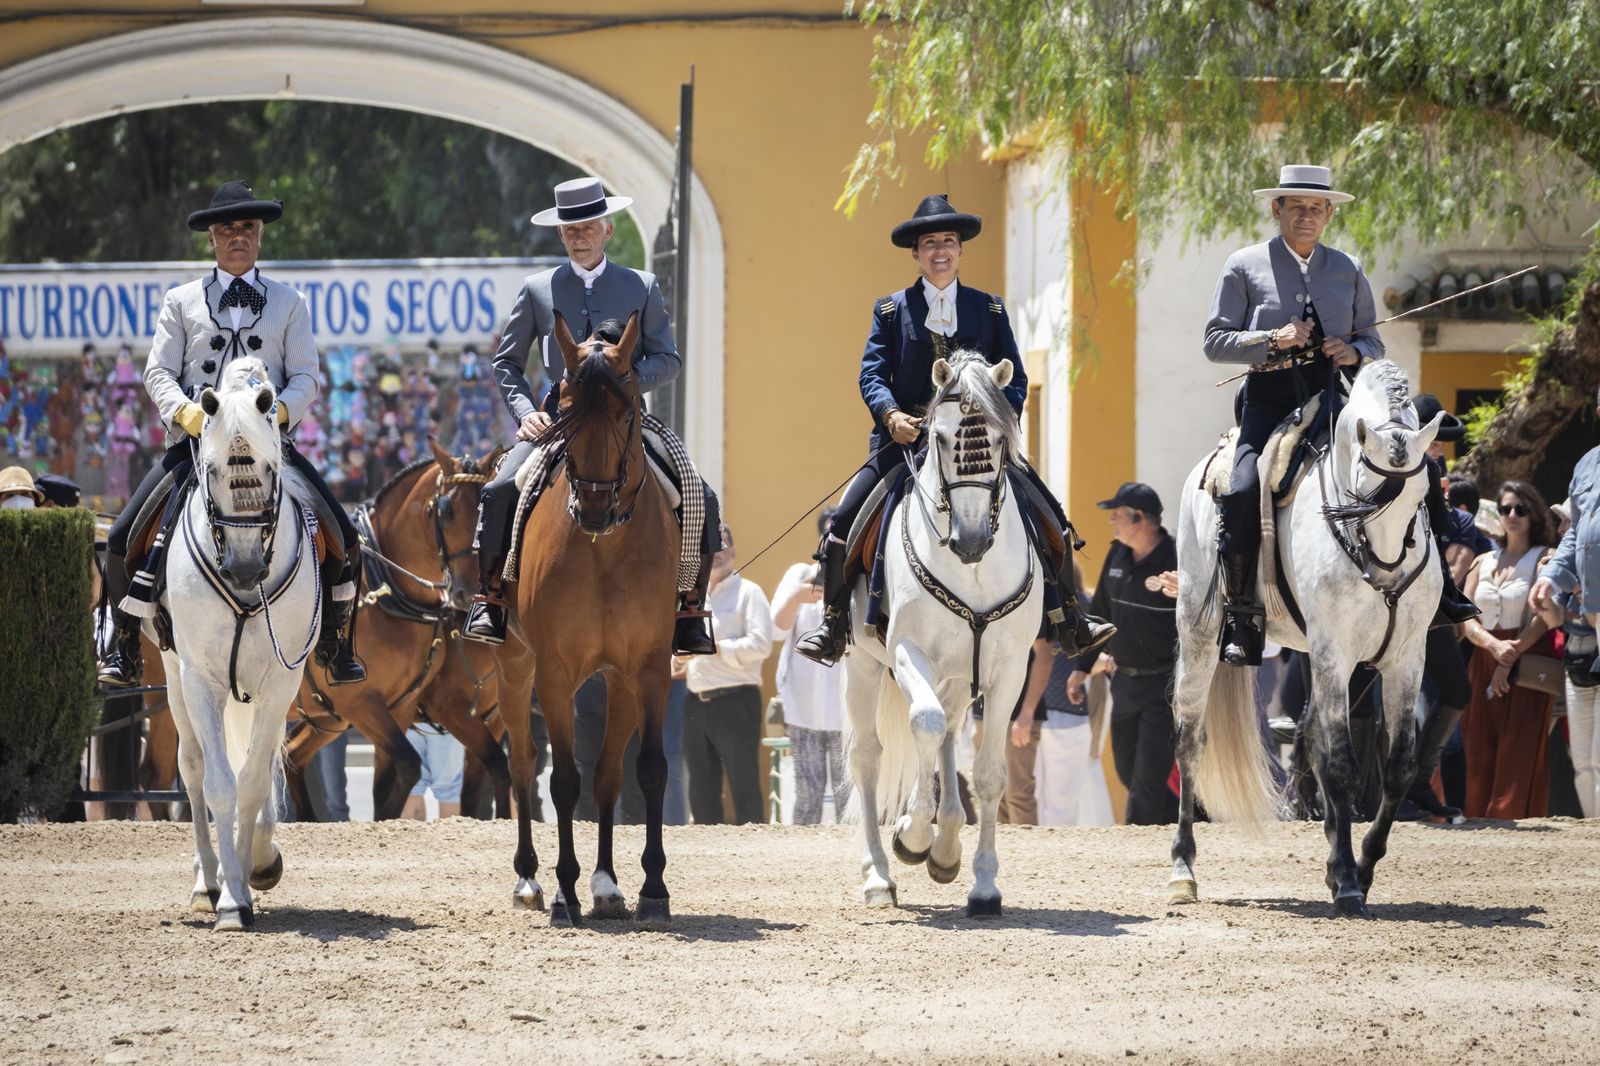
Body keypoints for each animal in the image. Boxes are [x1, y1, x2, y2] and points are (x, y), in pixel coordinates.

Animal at [155, 358, 321, 931]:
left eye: (269, 469)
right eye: (211, 470)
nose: (246, 568)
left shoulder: (281, 682)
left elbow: (253, 779)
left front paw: (253, 872)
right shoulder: (200, 678)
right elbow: (219, 785)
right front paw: (229, 900)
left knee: (262, 762)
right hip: (174, 681)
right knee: (193, 769)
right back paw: (207, 881)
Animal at [281, 442, 509, 820]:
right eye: (446, 511)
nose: (465, 591)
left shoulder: (402, 707)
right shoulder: (375, 703)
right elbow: (410, 765)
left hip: (326, 717)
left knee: (292, 755)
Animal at [494, 312, 679, 927]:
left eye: (626, 412)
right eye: (566, 410)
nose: (595, 505)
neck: (605, 548)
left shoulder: (646, 669)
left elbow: (643, 770)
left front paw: (650, 889)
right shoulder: (553, 672)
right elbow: (563, 779)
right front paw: (564, 892)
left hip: (616, 682)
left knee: (607, 775)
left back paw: (607, 885)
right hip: (513, 665)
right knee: (523, 763)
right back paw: (529, 878)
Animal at [844, 350, 1043, 917]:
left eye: (997, 439)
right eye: (937, 436)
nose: (970, 540)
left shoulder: (1008, 670)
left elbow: (989, 771)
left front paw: (984, 885)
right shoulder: (908, 652)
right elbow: (925, 725)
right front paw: (912, 834)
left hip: (959, 675)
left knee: (952, 736)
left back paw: (947, 845)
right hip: (864, 666)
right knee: (872, 755)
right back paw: (879, 875)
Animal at [1169, 359, 1445, 917]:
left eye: (1419, 495)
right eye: (1363, 495)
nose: (1385, 575)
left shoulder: (1406, 657)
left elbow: (1399, 765)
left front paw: (1359, 865)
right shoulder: (1333, 653)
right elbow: (1340, 762)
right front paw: (1348, 882)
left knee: (1311, 738)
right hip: (1202, 635)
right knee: (1190, 742)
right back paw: (1183, 869)